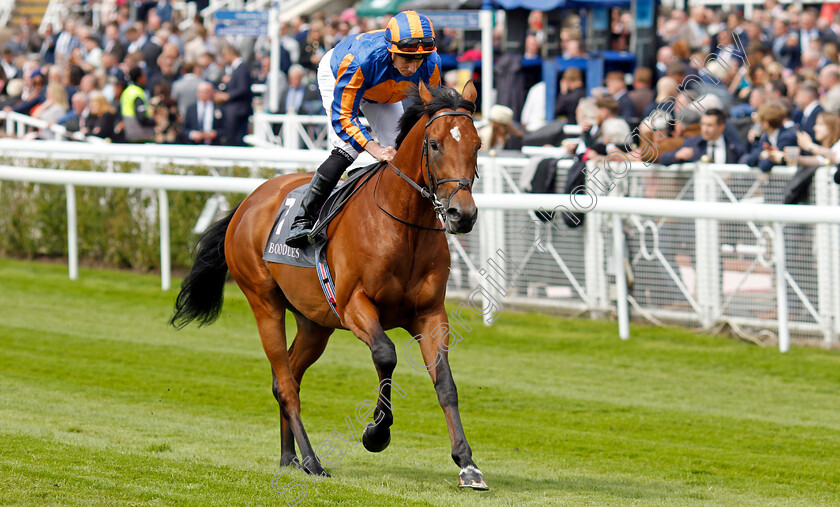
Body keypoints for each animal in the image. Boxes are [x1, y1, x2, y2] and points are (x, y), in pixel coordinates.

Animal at [171, 81, 486, 490]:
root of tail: (248, 202)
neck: (401, 228)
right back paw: (312, 460)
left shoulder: (430, 312)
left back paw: (289, 457)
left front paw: (467, 464)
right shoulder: (354, 305)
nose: (462, 215)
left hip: (314, 323)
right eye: (434, 144)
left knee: (287, 374)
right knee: (286, 384)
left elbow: (445, 381)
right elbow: (385, 354)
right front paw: (376, 433)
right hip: (264, 301)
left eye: (477, 144)